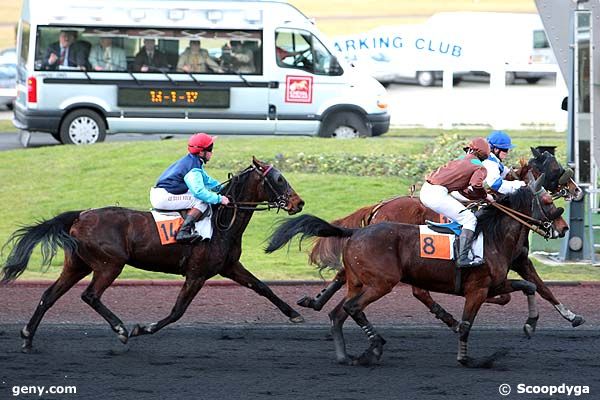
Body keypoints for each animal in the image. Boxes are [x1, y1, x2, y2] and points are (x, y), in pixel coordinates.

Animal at [1, 158, 304, 352]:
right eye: (278, 179)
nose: (298, 202)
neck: (221, 222)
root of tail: (81, 215)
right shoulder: (197, 273)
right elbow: (177, 311)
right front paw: (141, 329)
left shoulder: (229, 266)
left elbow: (262, 287)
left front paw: (294, 314)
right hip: (109, 264)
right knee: (90, 295)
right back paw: (121, 330)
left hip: (78, 265)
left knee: (48, 295)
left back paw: (28, 336)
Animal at [268, 173, 568, 368]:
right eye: (548, 201)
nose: (563, 228)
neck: (491, 236)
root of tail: (356, 231)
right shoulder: (477, 289)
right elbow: (467, 324)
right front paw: (468, 358)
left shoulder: (494, 284)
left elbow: (529, 286)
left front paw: (531, 324)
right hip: (382, 282)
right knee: (354, 308)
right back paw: (375, 346)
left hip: (359, 282)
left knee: (339, 312)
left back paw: (346, 354)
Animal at [300, 148, 580, 332]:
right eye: (556, 169)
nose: (577, 190)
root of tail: (379, 206)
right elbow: (524, 290)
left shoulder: (520, 260)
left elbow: (542, 287)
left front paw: (572, 315)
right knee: (416, 290)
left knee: (345, 275)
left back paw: (315, 301)